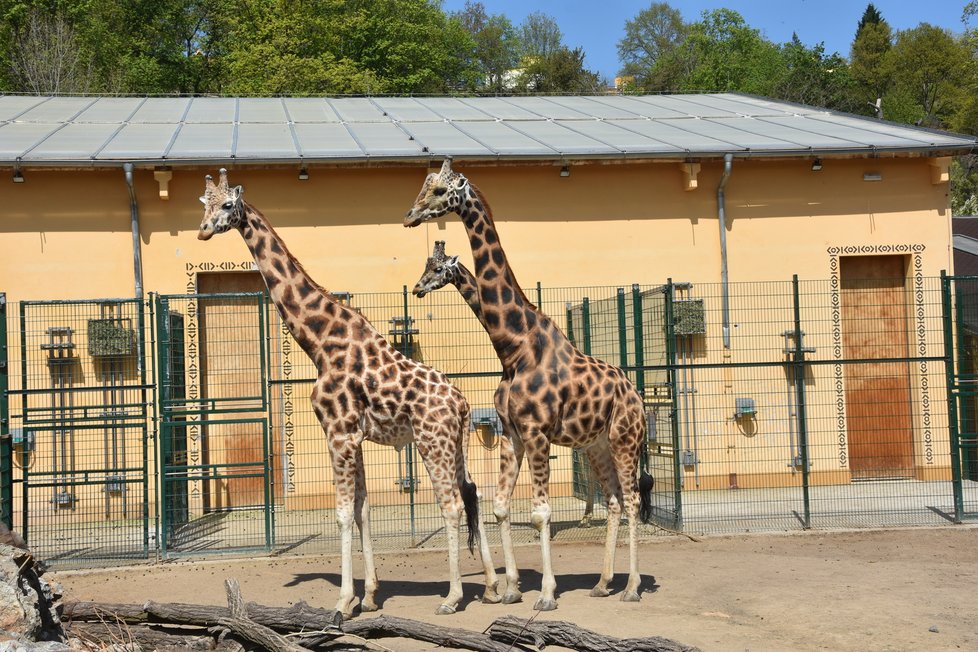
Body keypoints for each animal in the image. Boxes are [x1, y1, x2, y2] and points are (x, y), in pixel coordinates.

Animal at [195, 168, 500, 616]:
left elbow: (340, 512)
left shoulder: (338, 433)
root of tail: (461, 404)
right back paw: (495, 586)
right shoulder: (354, 436)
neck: (320, 342)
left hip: (432, 442)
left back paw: (453, 596)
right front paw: (369, 596)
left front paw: (343, 600)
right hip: (454, 443)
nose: (202, 230)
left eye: (228, 205)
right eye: (204, 204)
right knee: (472, 492)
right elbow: (362, 509)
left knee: (451, 504)